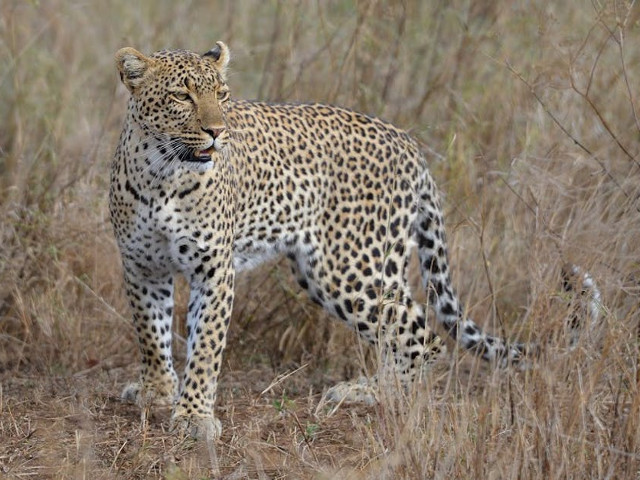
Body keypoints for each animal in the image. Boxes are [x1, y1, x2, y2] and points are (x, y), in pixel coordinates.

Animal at [109, 42, 600, 439]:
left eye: (222, 95)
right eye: (182, 96)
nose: (217, 131)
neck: (162, 175)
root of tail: (408, 142)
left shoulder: (213, 268)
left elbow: (206, 344)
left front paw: (194, 416)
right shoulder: (140, 265)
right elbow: (150, 333)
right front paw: (157, 392)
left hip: (349, 266)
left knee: (422, 333)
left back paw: (377, 393)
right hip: (326, 270)